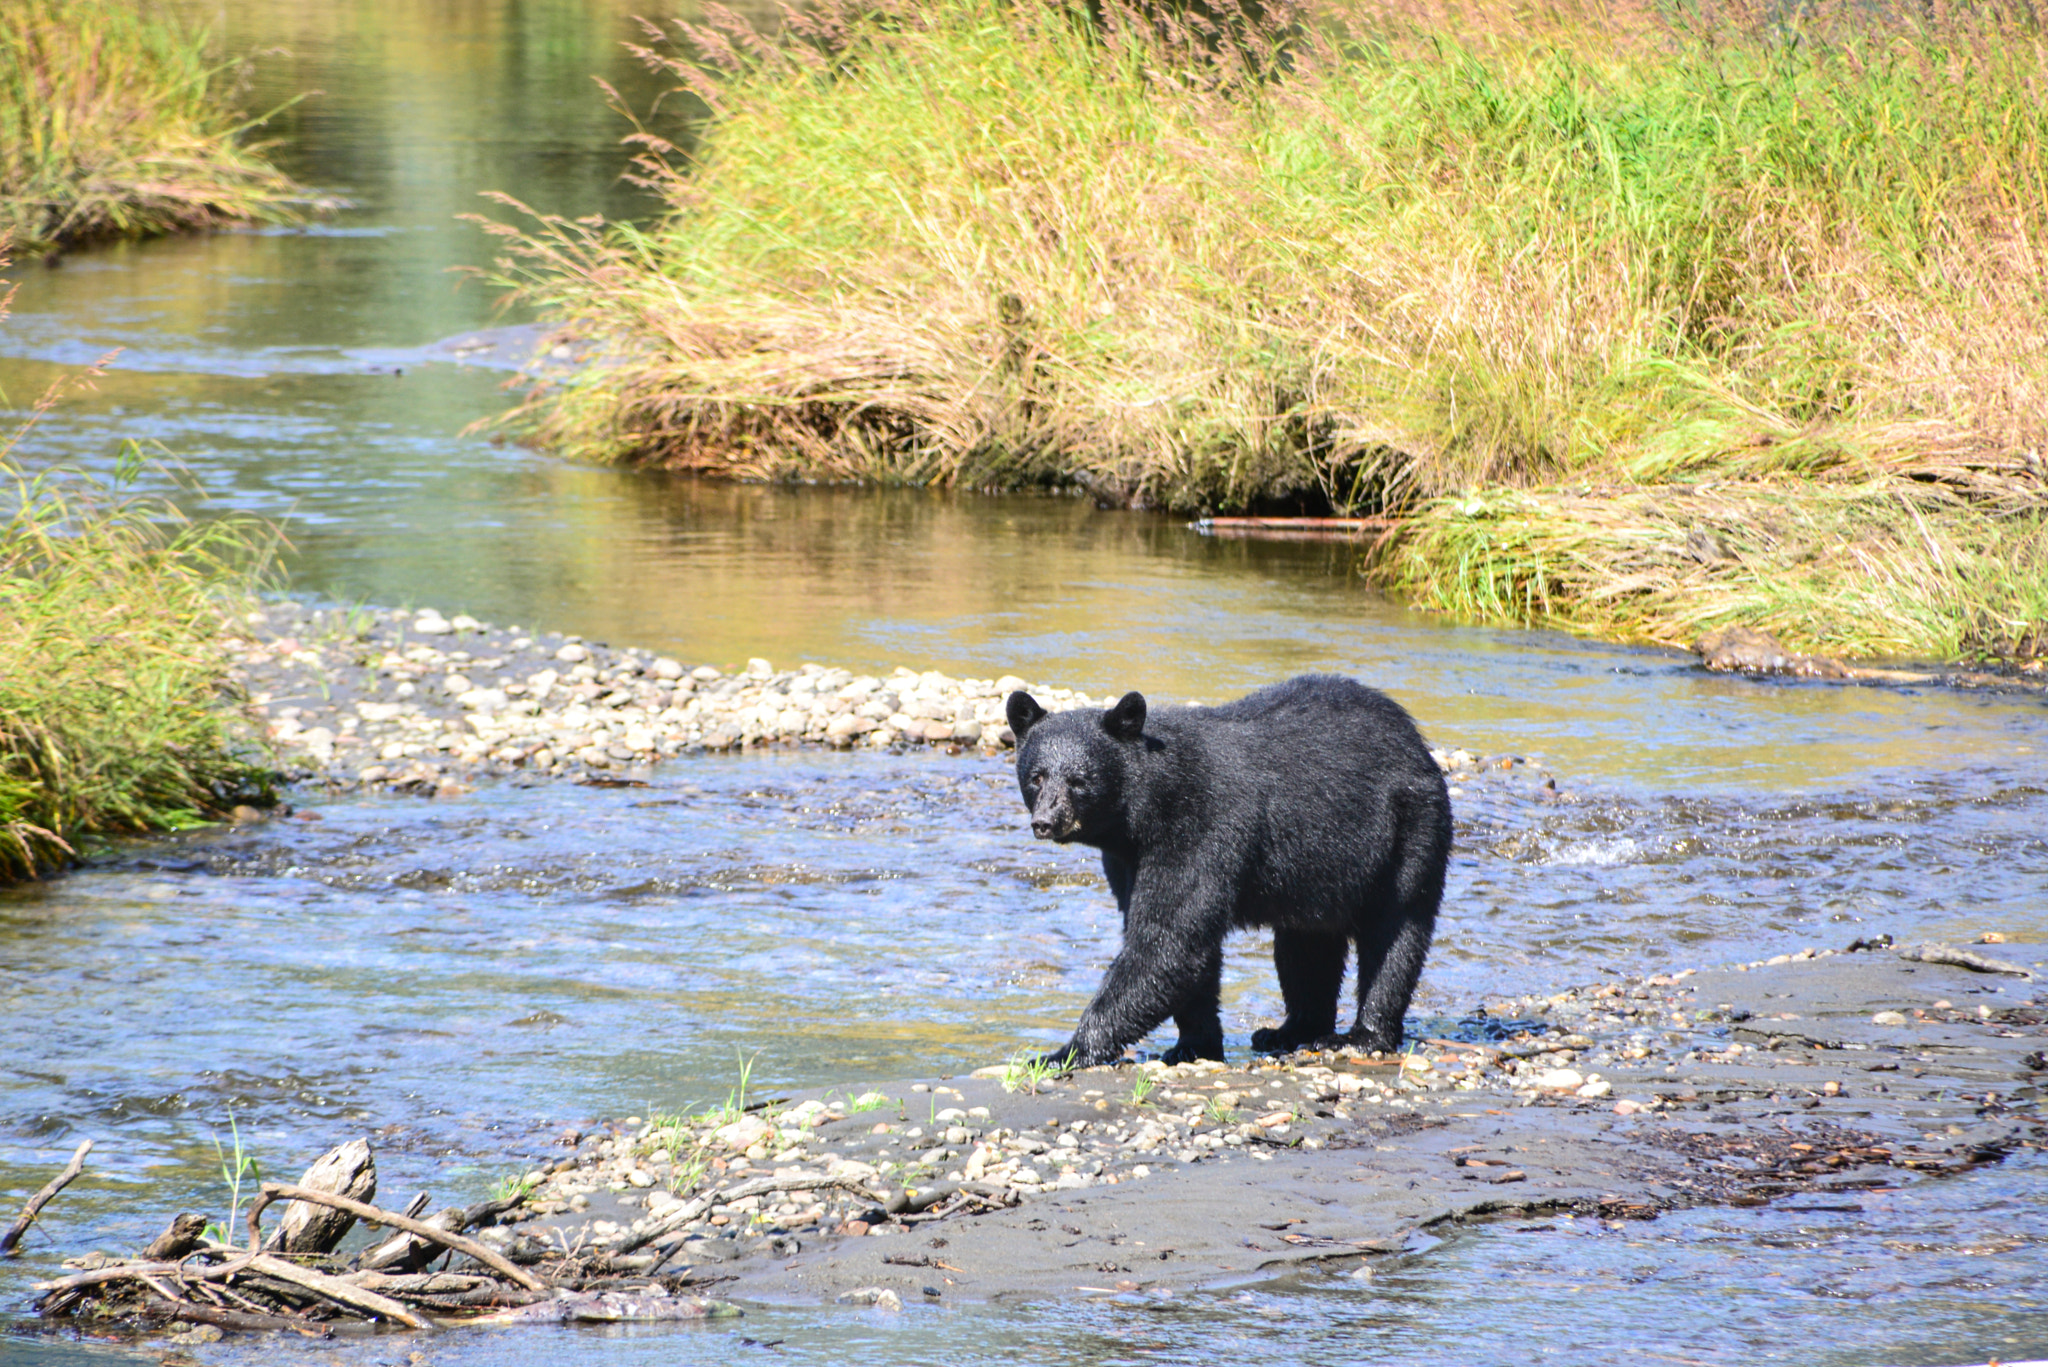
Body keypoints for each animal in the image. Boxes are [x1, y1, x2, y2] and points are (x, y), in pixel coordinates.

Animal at [1005, 674, 1452, 1069]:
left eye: (1080, 780)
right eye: (1037, 776)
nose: (1045, 821)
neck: (1145, 808)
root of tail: (1414, 739)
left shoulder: (1200, 828)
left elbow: (1169, 941)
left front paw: (1062, 1053)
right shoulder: (1127, 859)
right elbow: (1182, 946)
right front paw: (1194, 1045)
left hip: (1409, 831)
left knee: (1395, 934)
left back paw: (1362, 1036)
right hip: (1317, 873)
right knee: (1305, 945)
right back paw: (1290, 1030)